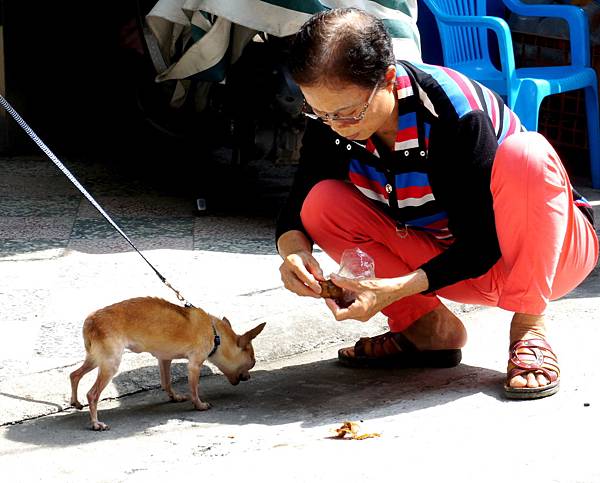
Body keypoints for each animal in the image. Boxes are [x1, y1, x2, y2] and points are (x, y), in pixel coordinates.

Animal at [68, 296, 264, 432]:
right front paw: (199, 405)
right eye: (252, 364)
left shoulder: (164, 359)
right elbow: (194, 389)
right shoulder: (194, 365)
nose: (249, 377)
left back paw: (75, 402)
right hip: (110, 364)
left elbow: (166, 382)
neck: (216, 334)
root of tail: (91, 320)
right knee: (92, 394)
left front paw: (174, 397)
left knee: (74, 374)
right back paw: (96, 423)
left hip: (96, 359)